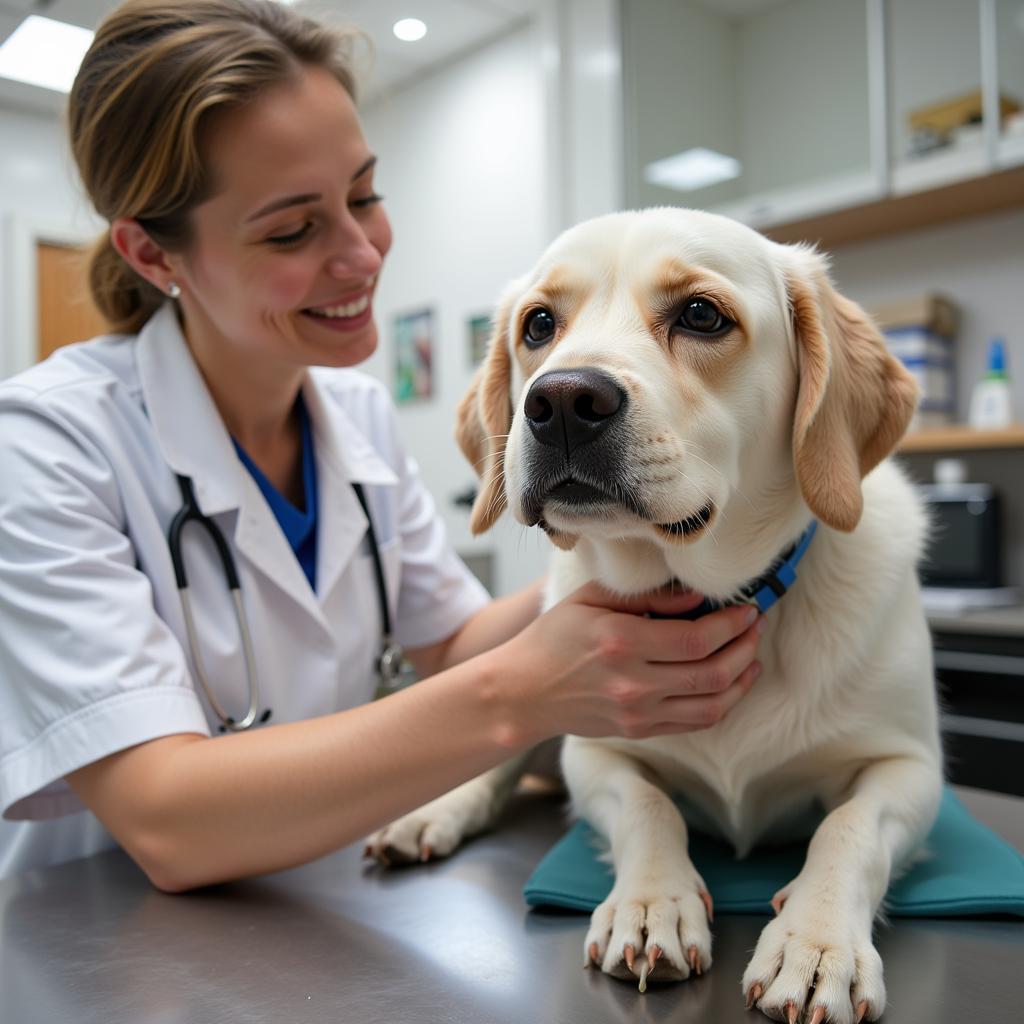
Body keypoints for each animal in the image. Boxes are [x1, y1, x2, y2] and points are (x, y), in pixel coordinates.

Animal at [368, 207, 942, 1024]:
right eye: (538, 325)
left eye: (701, 314)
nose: (560, 401)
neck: (704, 594)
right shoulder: (593, 751)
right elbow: (647, 806)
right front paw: (650, 905)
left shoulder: (911, 767)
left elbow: (847, 829)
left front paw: (817, 940)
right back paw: (430, 816)